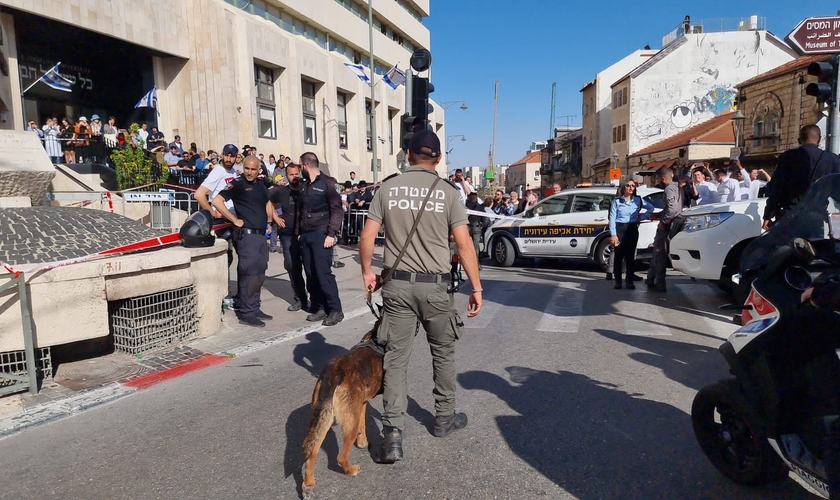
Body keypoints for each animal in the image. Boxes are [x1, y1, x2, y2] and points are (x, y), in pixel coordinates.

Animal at [302, 318, 384, 498]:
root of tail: (334, 373)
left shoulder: (361, 404)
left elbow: (363, 425)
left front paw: (363, 442)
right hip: (346, 426)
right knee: (340, 457)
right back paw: (351, 470)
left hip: (323, 419)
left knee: (311, 454)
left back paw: (309, 485)